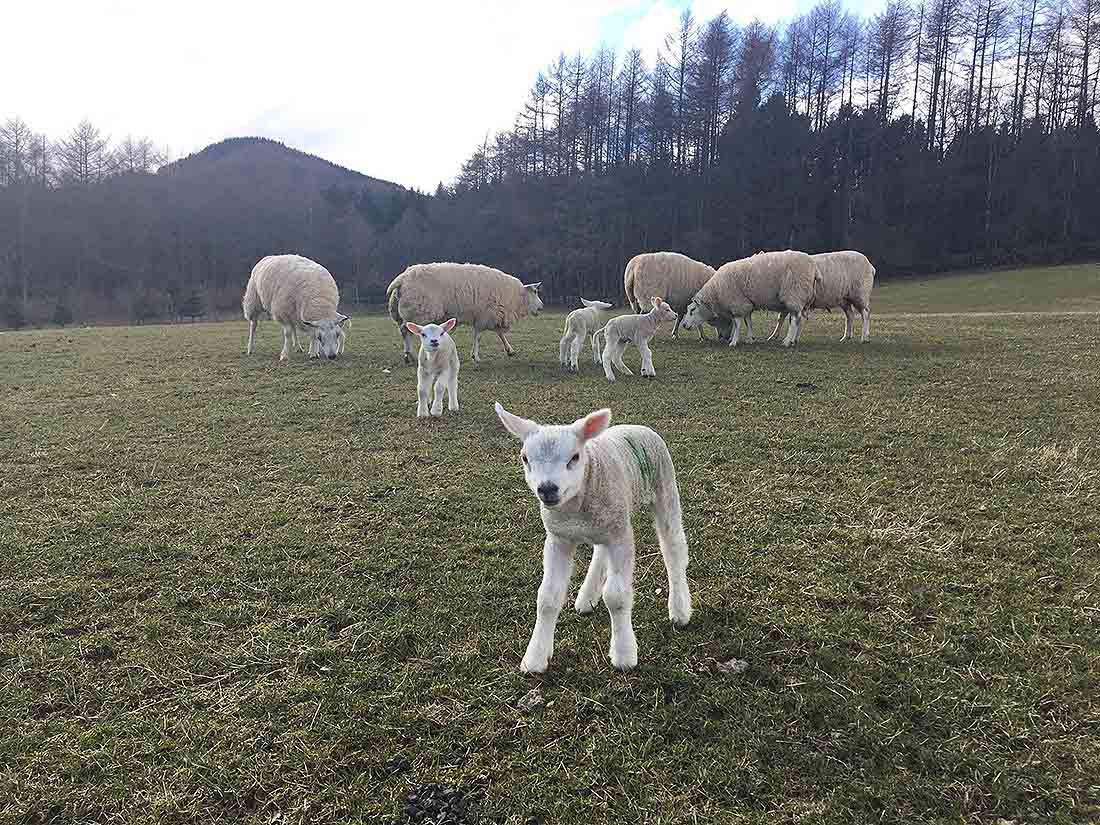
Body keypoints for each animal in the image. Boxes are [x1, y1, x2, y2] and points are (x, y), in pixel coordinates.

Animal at [385, 262, 543, 367]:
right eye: (535, 291)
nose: (541, 308)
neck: (516, 296)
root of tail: (402, 278)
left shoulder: (490, 316)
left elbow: (499, 334)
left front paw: (510, 350)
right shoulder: (485, 316)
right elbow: (478, 337)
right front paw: (476, 357)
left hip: (403, 313)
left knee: (404, 331)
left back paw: (409, 356)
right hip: (418, 312)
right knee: (406, 331)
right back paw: (409, 355)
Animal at [495, 404, 690, 673]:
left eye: (574, 457)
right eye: (525, 458)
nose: (547, 489)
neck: (576, 508)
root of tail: (638, 426)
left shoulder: (620, 535)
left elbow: (616, 596)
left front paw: (624, 654)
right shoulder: (558, 538)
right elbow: (547, 597)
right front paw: (535, 657)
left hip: (664, 488)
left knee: (673, 547)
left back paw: (680, 610)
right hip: (607, 522)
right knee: (600, 552)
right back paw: (587, 597)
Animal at [673, 247, 822, 347]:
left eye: (692, 310)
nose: (684, 325)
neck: (716, 292)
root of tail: (814, 267)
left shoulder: (737, 303)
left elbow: (738, 323)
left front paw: (733, 341)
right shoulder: (746, 304)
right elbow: (748, 322)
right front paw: (749, 339)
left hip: (794, 294)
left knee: (795, 319)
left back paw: (787, 341)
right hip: (800, 298)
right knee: (799, 320)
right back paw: (793, 340)